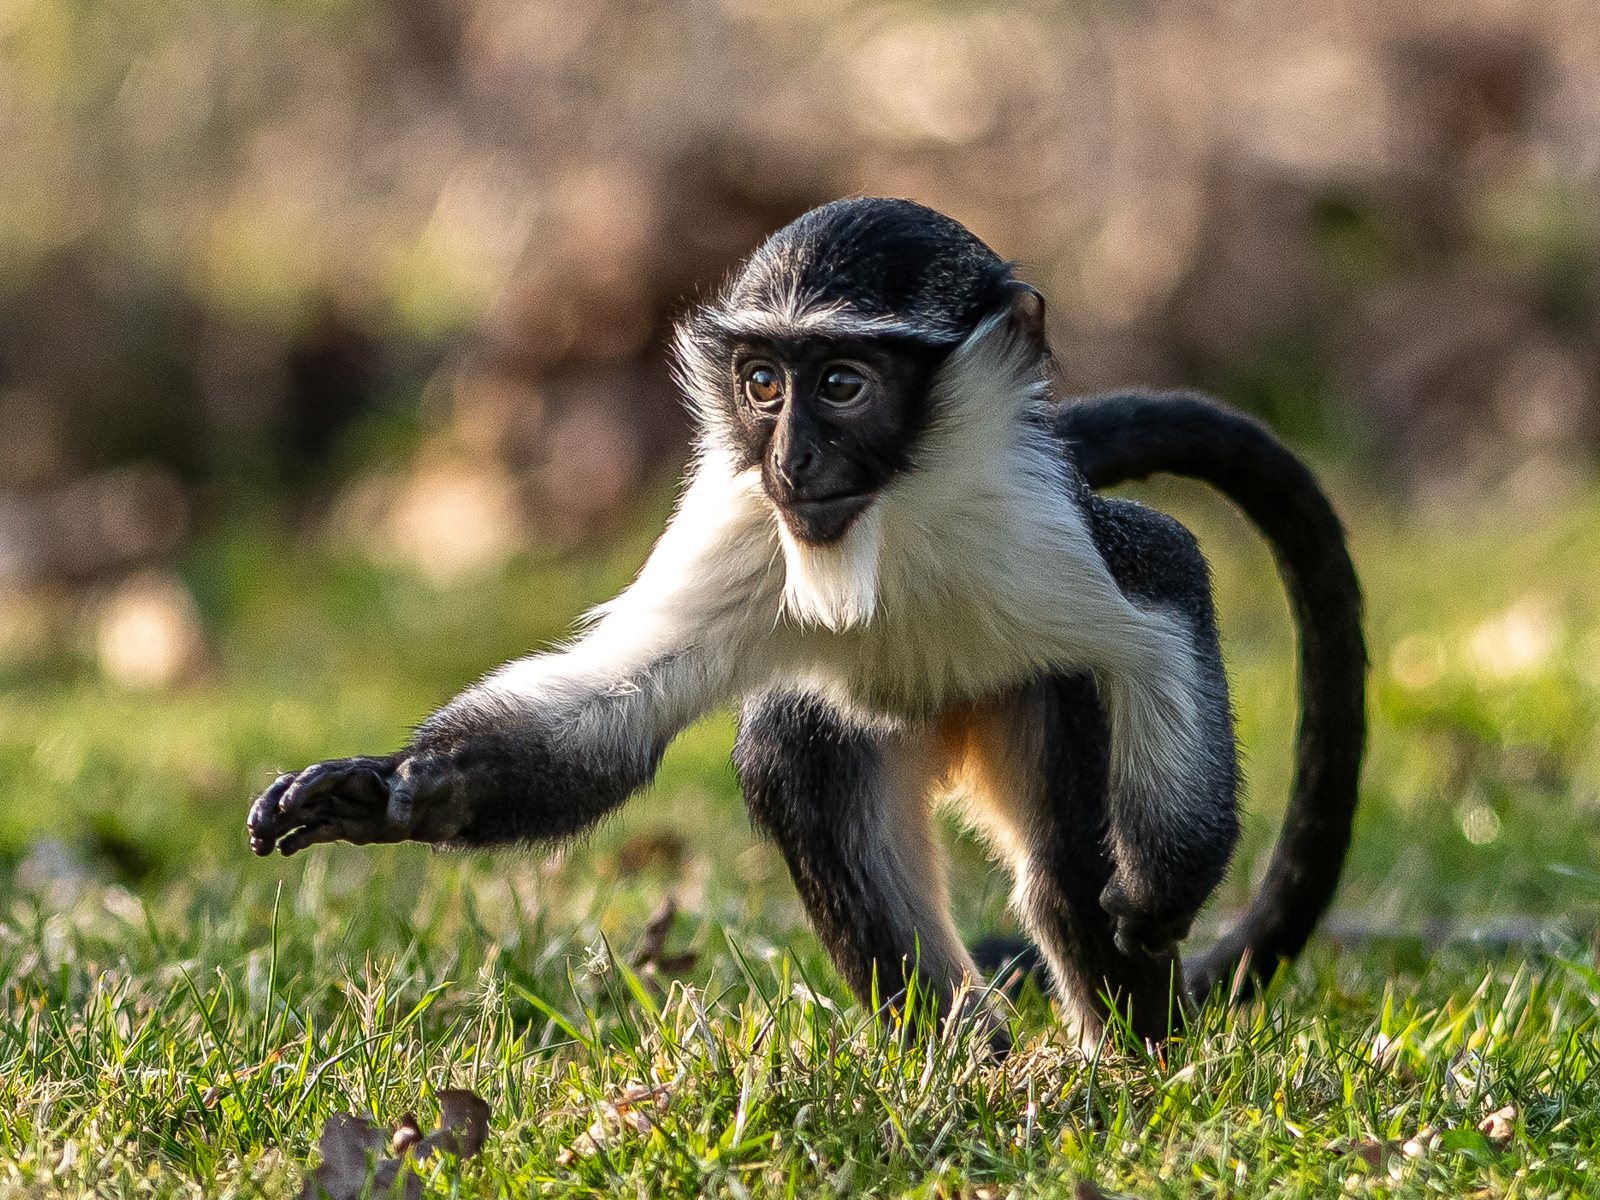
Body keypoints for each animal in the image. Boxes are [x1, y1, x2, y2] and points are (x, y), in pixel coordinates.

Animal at [248, 198, 1364, 1046]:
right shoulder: (736, 522)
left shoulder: (1048, 530)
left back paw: (1122, 1067)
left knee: (1061, 867)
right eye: (761, 383)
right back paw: (964, 1057)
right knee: (798, 756)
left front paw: (1164, 889)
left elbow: (1168, 587)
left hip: (1034, 695)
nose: (793, 462)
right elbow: (615, 709)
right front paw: (387, 794)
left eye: (841, 382)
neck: (888, 521)